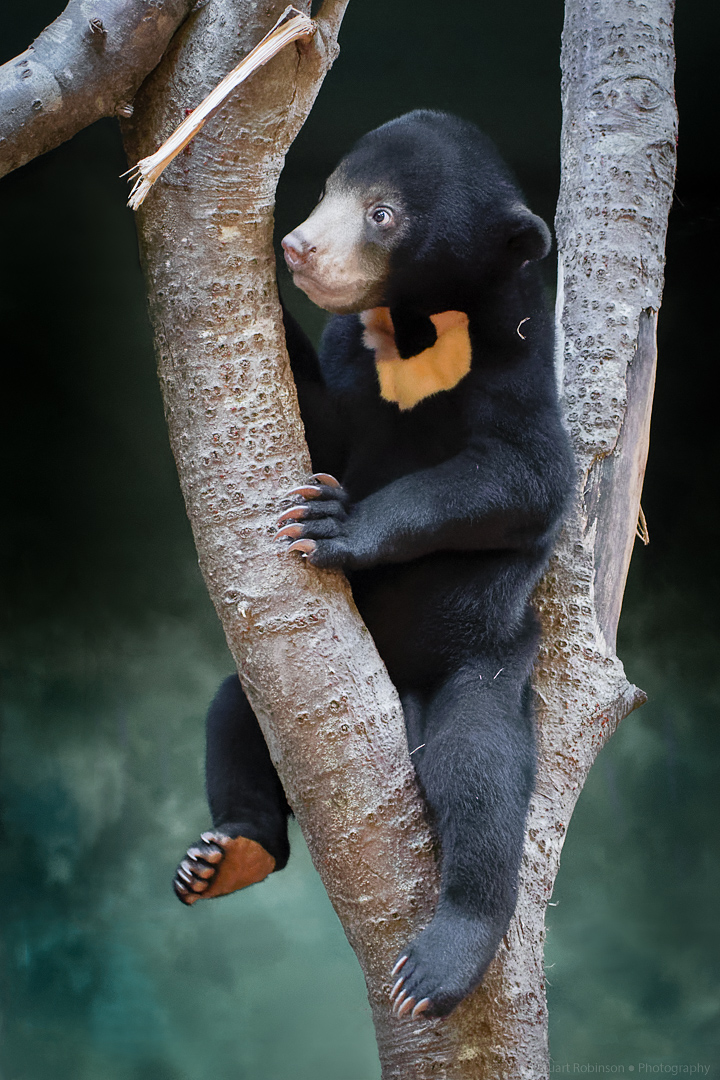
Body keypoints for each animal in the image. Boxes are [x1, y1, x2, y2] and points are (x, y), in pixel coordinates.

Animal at [173, 110, 574, 1020]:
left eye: (384, 215)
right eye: (328, 189)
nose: (297, 245)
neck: (419, 328)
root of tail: (405, 695)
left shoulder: (520, 369)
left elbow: (522, 476)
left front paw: (335, 523)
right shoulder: (353, 355)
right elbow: (321, 428)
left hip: (483, 661)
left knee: (477, 774)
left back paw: (439, 966)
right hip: (270, 706)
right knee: (232, 715)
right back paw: (223, 858)